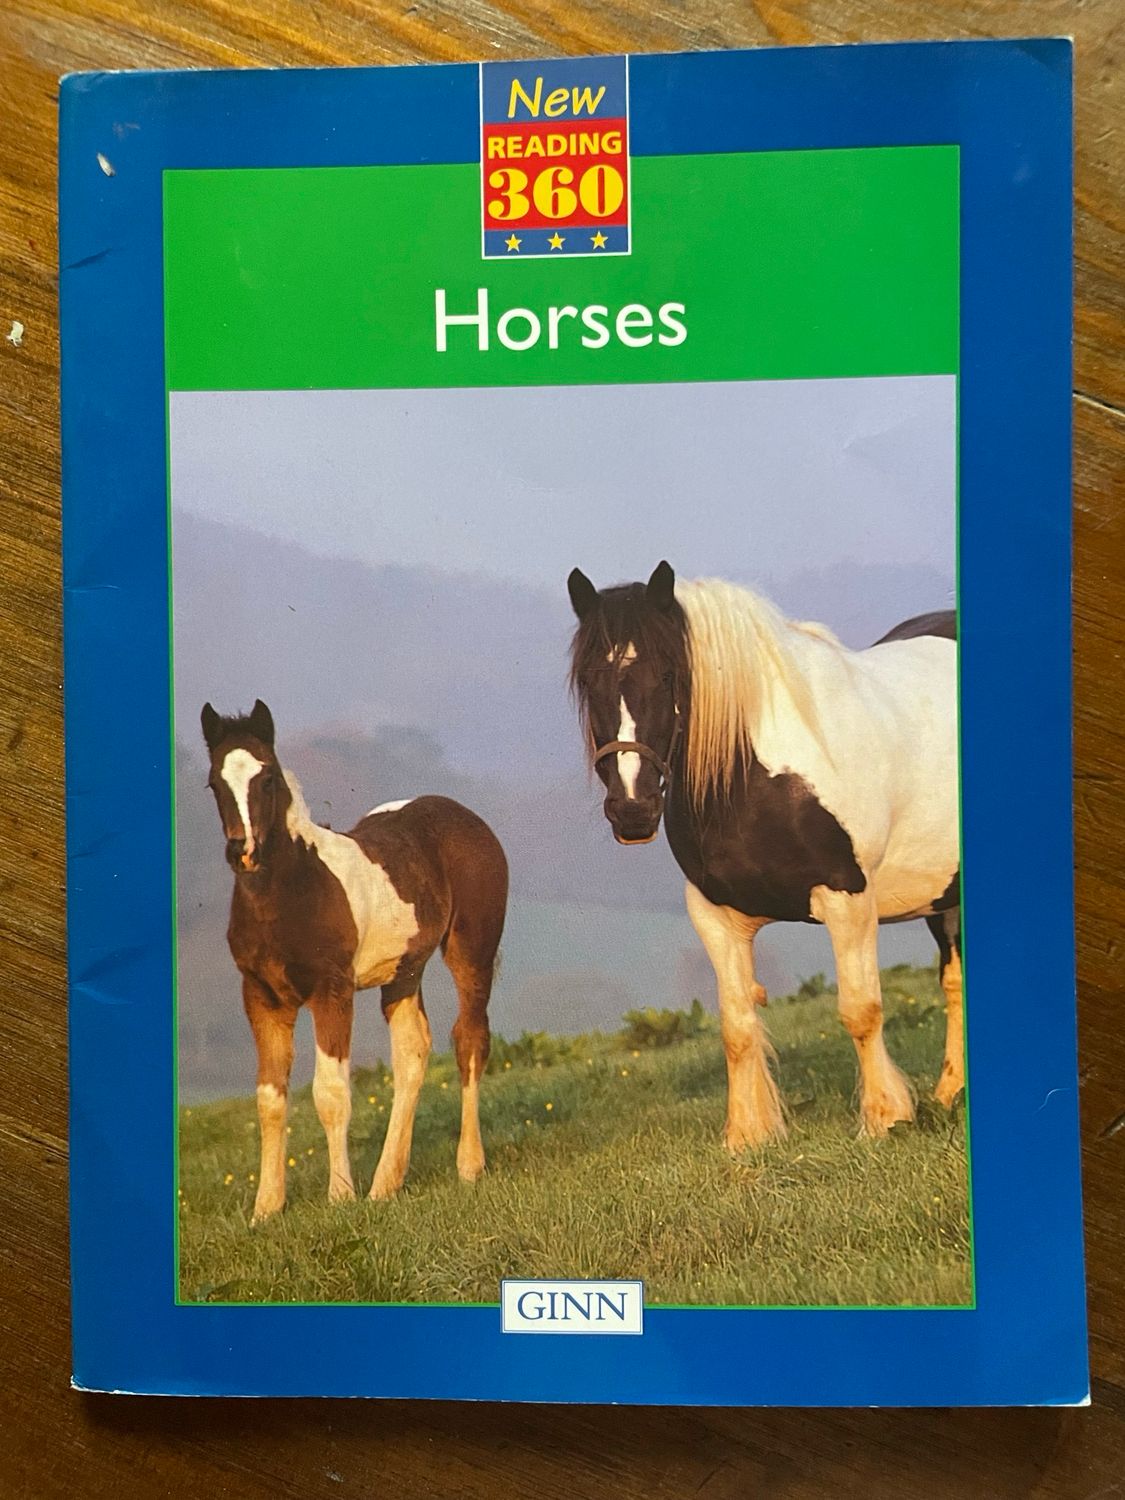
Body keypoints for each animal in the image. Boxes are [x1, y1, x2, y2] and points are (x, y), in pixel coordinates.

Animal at [200, 699, 508, 1223]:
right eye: (214, 783)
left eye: (267, 778)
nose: (242, 851)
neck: (294, 889)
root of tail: (468, 818)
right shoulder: (262, 998)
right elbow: (269, 1098)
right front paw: (266, 1208)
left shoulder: (332, 991)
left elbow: (331, 1092)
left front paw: (340, 1195)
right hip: (404, 972)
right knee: (412, 1055)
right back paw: (386, 1182)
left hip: (472, 951)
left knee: (469, 1041)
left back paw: (468, 1166)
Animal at [567, 562, 961, 1148]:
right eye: (590, 681)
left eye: (669, 677)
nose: (632, 809)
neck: (758, 777)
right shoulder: (714, 914)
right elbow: (737, 1026)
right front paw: (747, 1133)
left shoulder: (846, 899)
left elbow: (860, 1010)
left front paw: (884, 1118)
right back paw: (952, 1093)